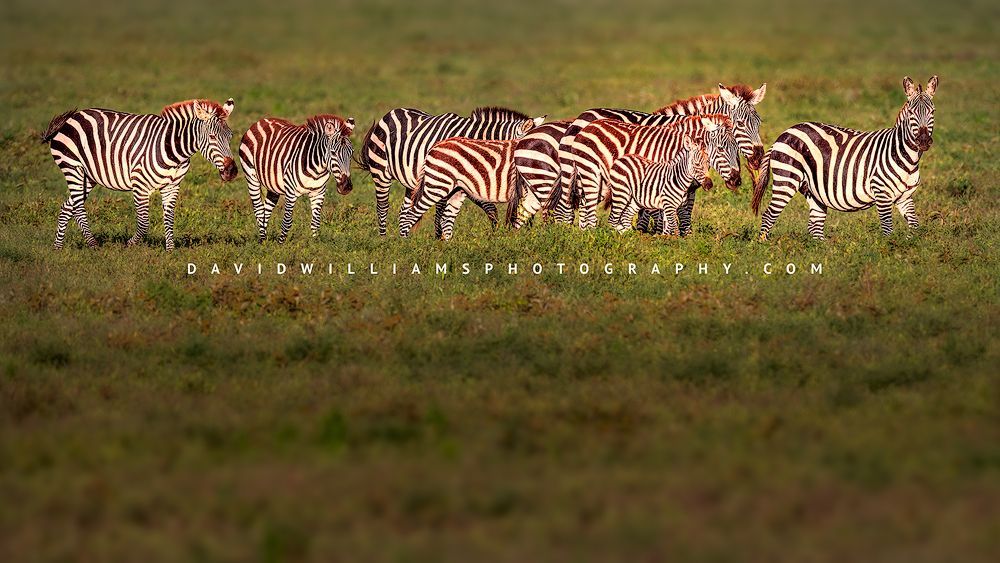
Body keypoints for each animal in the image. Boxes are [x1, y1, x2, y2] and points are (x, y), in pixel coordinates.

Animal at [41, 98, 238, 250]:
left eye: (231, 136)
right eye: (212, 137)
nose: (232, 171)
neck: (174, 150)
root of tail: (70, 118)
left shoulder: (172, 187)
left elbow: (169, 219)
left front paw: (170, 252)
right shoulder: (140, 185)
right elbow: (143, 224)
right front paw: (129, 245)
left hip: (88, 177)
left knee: (69, 206)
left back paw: (57, 248)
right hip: (72, 167)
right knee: (79, 208)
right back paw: (93, 245)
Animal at [239, 114, 355, 243]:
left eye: (351, 153)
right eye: (333, 153)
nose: (346, 187)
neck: (317, 168)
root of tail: (262, 121)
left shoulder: (319, 193)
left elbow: (315, 222)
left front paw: (315, 244)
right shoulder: (291, 192)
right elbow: (287, 221)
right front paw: (280, 244)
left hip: (273, 185)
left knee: (266, 210)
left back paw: (264, 239)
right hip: (251, 176)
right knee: (259, 210)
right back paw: (262, 241)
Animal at [356, 106, 545, 236]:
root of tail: (393, 112)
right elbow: (487, 208)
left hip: (413, 183)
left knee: (405, 211)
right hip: (381, 172)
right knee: (382, 207)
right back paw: (384, 239)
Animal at [568, 115, 742, 229]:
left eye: (737, 150)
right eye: (720, 149)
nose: (737, 181)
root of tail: (587, 127)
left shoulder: (688, 188)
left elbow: (685, 213)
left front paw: (686, 237)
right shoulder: (664, 180)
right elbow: (668, 212)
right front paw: (665, 236)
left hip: (601, 180)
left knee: (584, 205)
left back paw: (585, 234)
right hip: (590, 171)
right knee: (590, 208)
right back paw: (592, 235)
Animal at [752, 76, 937, 240]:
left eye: (933, 111)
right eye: (911, 112)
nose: (923, 141)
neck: (906, 158)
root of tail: (784, 133)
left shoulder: (905, 197)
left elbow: (915, 226)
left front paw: (909, 246)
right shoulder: (881, 192)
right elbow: (887, 229)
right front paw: (888, 250)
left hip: (812, 190)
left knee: (815, 225)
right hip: (786, 179)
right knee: (769, 215)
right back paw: (762, 246)